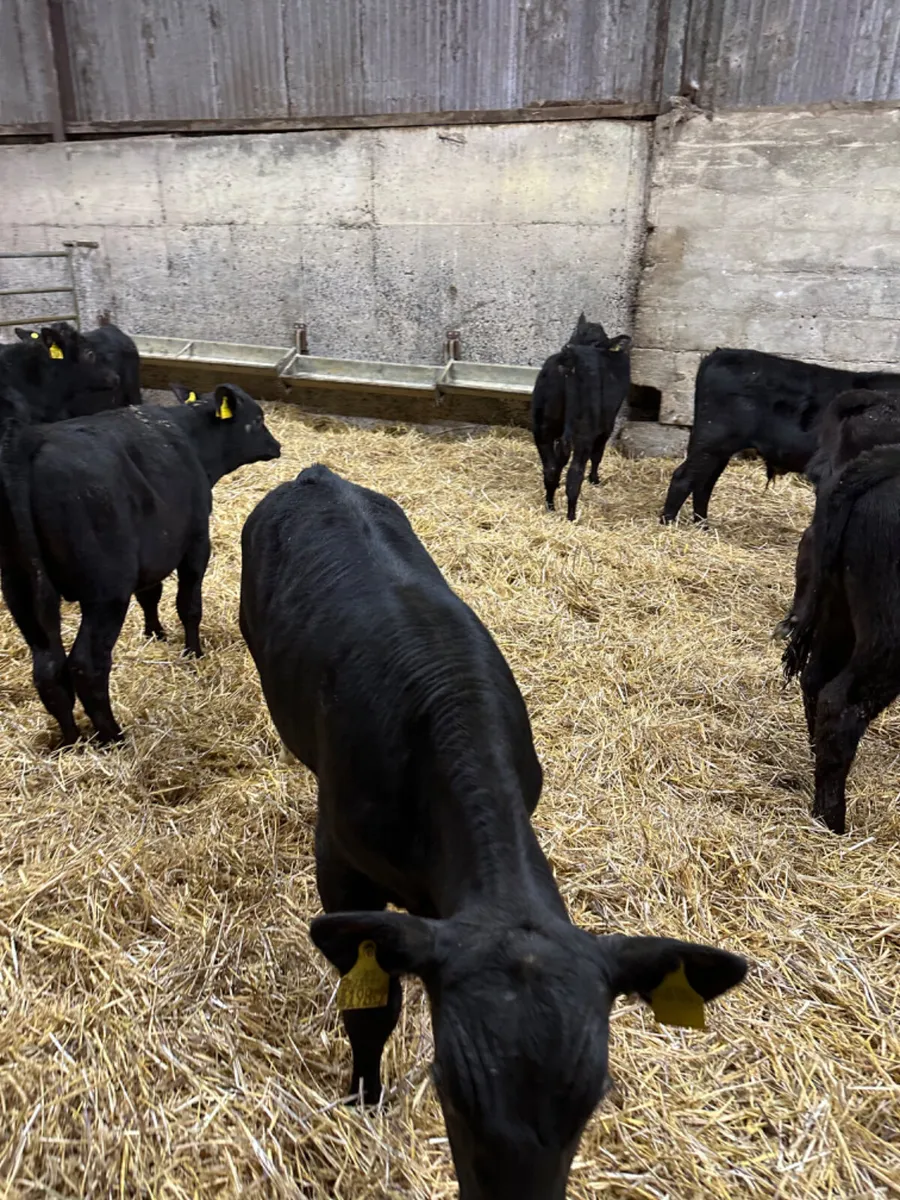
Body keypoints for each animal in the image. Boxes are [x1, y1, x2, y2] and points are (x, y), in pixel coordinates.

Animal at [0, 382, 280, 745]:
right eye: (257, 420)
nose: (277, 446)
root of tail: (28, 441)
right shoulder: (195, 541)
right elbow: (189, 604)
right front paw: (193, 652)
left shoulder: (152, 552)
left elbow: (150, 594)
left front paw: (155, 633)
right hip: (105, 594)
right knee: (86, 665)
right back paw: (113, 736)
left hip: (21, 592)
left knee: (48, 669)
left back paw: (71, 740)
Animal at [239, 464, 748, 1200]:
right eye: (450, 1089)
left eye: (593, 1096)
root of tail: (318, 474)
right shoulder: (340, 861)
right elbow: (371, 1004)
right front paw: (364, 1097)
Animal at [531, 314, 632, 521]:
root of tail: (570, 358)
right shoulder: (607, 424)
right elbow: (598, 454)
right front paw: (594, 479)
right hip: (584, 431)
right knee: (575, 473)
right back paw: (571, 516)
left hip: (541, 426)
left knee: (550, 469)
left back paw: (550, 506)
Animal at [661, 348, 900, 526]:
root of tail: (719, 354)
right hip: (712, 440)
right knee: (684, 478)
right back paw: (668, 524)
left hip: (718, 449)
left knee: (704, 483)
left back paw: (703, 526)